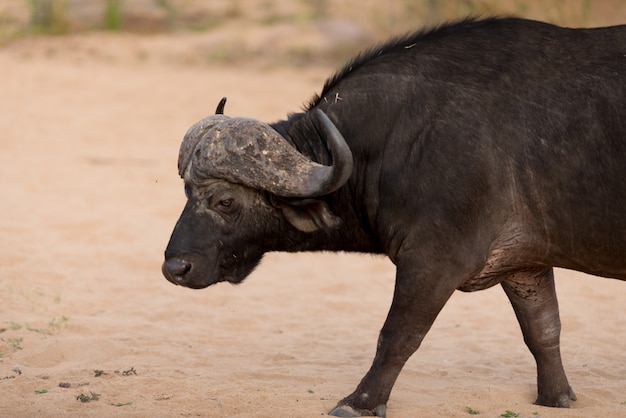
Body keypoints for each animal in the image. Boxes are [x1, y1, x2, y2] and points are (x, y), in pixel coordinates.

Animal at [162, 18, 624, 416]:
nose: (175, 268)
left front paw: (360, 402)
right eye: (186, 192)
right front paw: (556, 397)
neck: (401, 138)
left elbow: (398, 335)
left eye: (224, 200)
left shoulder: (435, 260)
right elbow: (543, 330)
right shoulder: (525, 266)